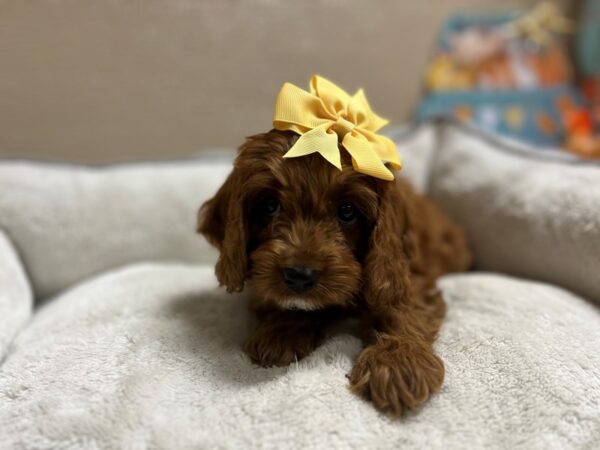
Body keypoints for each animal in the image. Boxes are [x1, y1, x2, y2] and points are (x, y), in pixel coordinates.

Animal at [199, 129, 472, 414]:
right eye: (270, 205)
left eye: (347, 210)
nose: (300, 274)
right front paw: (280, 331)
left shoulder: (407, 275)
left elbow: (403, 309)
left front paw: (398, 362)